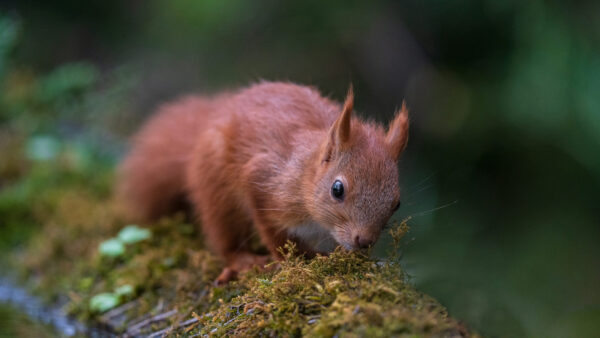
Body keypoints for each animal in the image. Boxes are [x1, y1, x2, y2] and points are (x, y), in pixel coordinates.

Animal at [117, 81, 408, 282]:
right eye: (337, 189)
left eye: (397, 203)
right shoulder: (262, 182)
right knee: (224, 236)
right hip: (218, 191)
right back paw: (243, 260)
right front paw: (297, 260)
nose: (364, 240)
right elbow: (274, 233)